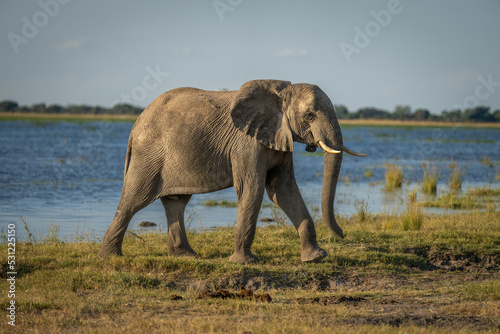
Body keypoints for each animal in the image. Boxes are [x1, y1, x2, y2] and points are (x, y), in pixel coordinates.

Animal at [97, 79, 366, 264]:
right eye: (309, 116)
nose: (342, 234)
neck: (281, 93)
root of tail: (135, 124)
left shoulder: (279, 137)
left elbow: (283, 190)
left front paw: (316, 257)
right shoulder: (247, 144)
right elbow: (253, 189)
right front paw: (245, 263)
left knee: (176, 202)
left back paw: (186, 256)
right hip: (149, 154)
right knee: (134, 199)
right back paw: (109, 257)